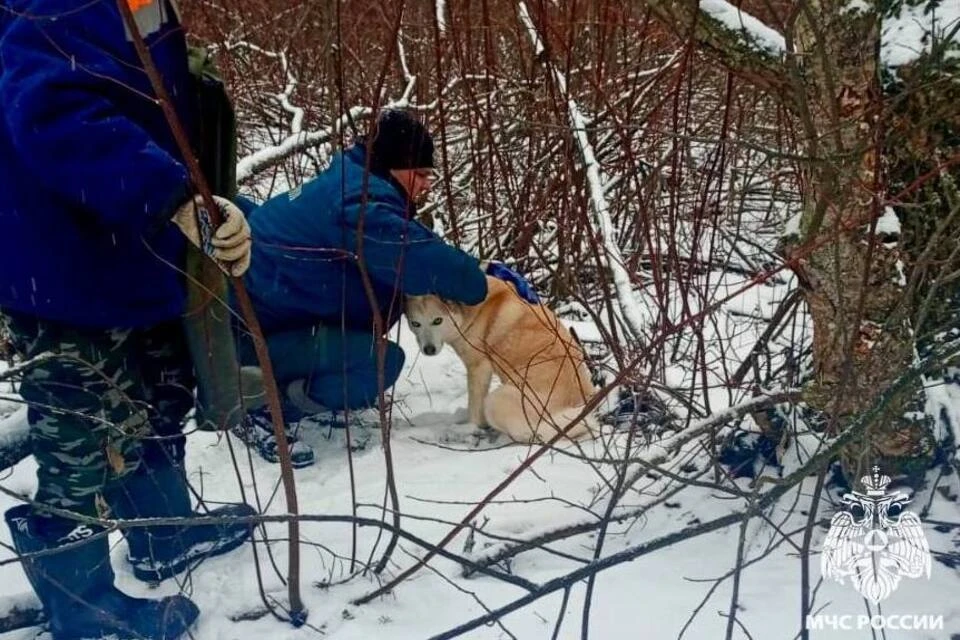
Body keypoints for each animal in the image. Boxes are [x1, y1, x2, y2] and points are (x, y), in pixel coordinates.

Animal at [406, 278, 600, 442]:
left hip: (495, 401)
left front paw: (471, 426)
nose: (428, 350)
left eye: (437, 321)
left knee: (529, 433)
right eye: (415, 324)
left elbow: (474, 408)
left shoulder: (478, 367)